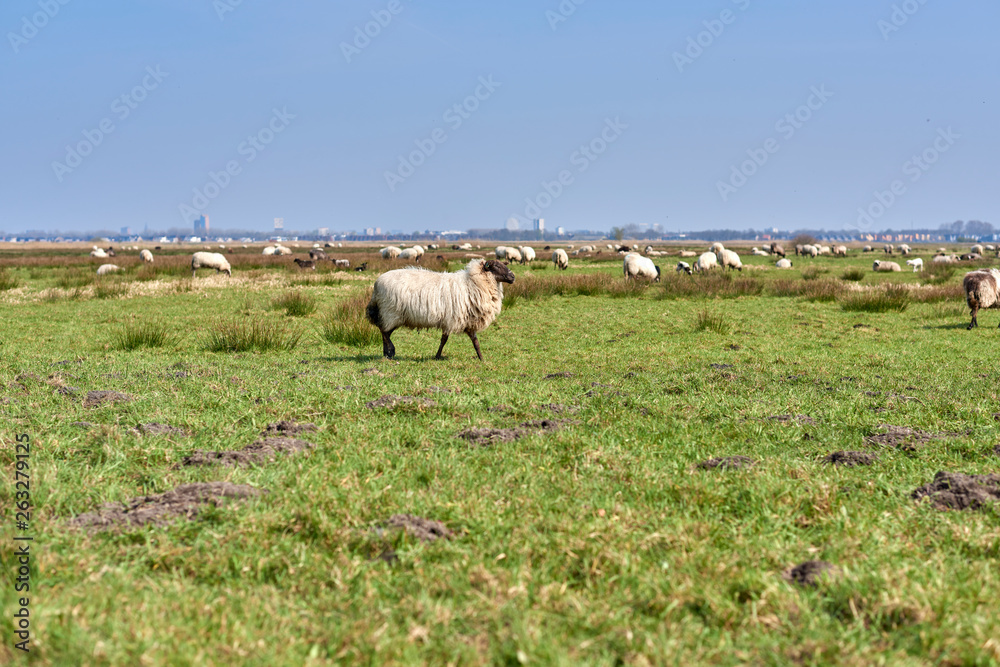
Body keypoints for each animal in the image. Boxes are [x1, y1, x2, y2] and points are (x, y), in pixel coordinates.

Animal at [366, 258, 515, 361]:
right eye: (496, 266)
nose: (513, 276)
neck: (473, 283)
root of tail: (376, 286)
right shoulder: (451, 319)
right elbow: (444, 340)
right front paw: (437, 356)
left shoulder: (468, 320)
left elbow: (475, 342)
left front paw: (481, 358)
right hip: (391, 312)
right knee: (384, 331)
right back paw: (391, 351)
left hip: (391, 315)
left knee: (385, 333)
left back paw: (386, 354)